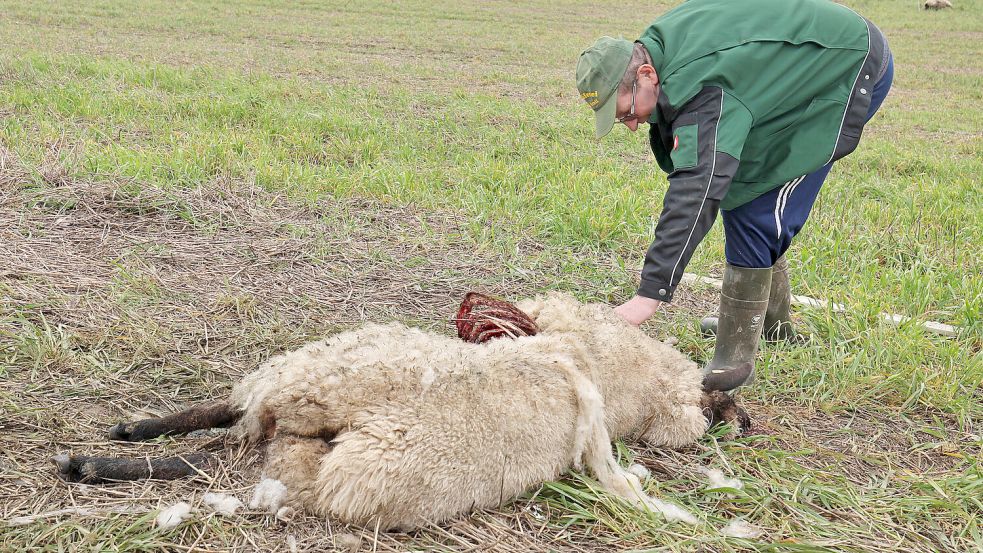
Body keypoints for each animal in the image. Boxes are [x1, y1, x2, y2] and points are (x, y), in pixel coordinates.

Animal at [53, 293, 750, 531]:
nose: (734, 415)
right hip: (302, 384)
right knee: (225, 428)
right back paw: (117, 444)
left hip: (301, 416)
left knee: (219, 442)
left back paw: (106, 454)